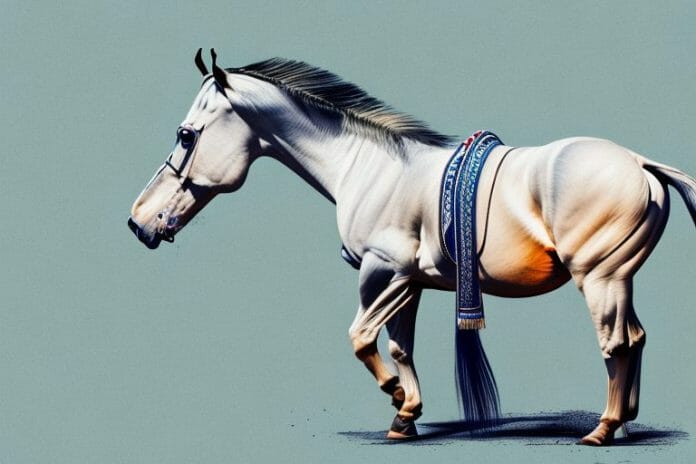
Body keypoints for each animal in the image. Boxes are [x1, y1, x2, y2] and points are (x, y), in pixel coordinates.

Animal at [128, 49, 696, 445]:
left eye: (186, 135)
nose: (139, 223)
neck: (369, 167)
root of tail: (642, 163)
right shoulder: (410, 282)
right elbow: (400, 345)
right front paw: (405, 417)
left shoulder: (384, 273)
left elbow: (360, 338)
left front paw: (399, 398)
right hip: (620, 279)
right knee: (635, 339)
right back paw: (625, 423)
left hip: (599, 279)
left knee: (615, 344)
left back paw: (601, 430)